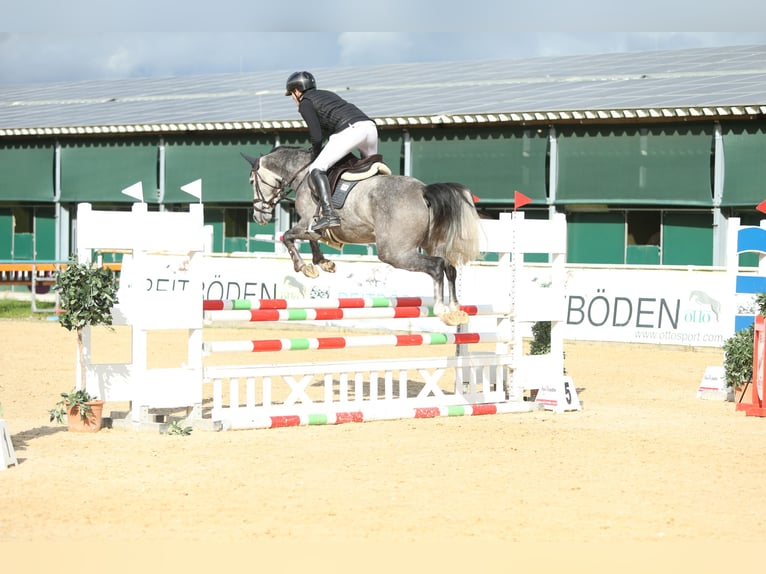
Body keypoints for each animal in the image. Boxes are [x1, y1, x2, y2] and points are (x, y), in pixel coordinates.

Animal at [243, 146, 480, 326]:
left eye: (252, 182)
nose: (258, 216)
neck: (303, 175)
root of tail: (423, 191)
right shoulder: (312, 226)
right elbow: (311, 240)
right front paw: (323, 262)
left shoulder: (306, 223)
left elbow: (288, 236)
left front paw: (305, 267)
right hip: (430, 245)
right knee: (450, 267)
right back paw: (456, 310)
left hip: (395, 253)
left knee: (437, 266)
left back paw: (442, 310)